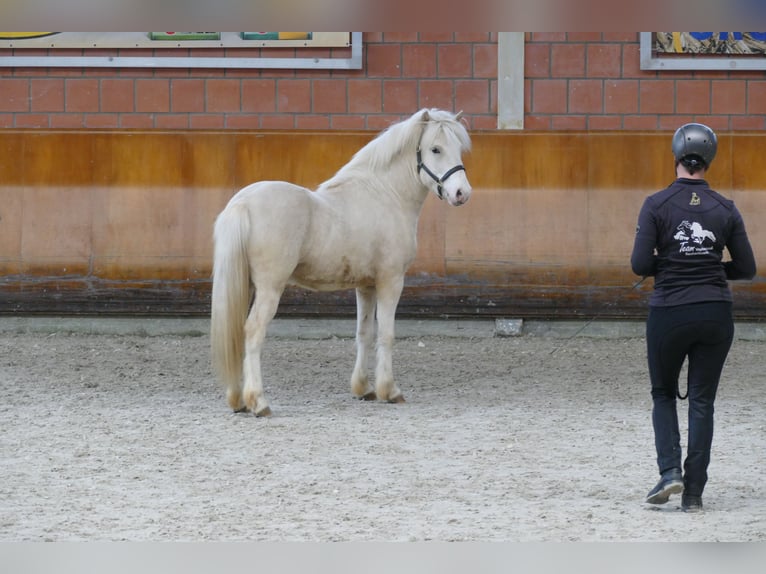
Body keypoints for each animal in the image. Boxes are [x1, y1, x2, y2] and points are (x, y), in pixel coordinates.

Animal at [210, 108, 472, 416]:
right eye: (435, 149)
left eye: (458, 148)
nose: (462, 193)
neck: (385, 195)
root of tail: (242, 204)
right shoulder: (391, 281)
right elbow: (387, 334)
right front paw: (390, 390)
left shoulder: (366, 286)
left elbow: (364, 334)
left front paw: (364, 389)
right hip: (269, 288)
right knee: (253, 332)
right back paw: (259, 402)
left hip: (247, 285)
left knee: (236, 334)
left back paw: (238, 400)